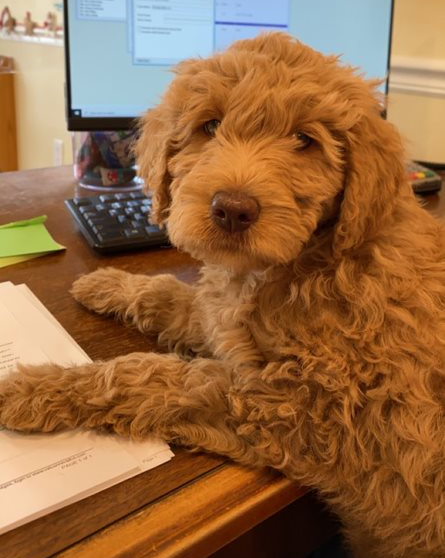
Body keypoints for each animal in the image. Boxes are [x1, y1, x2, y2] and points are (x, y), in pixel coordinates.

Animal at [2, 34, 444, 558]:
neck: (313, 256)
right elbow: (173, 295)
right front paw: (107, 284)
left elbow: (152, 376)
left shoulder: (297, 410)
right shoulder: (226, 321)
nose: (232, 209)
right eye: (210, 126)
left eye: (305, 141)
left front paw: (38, 388)